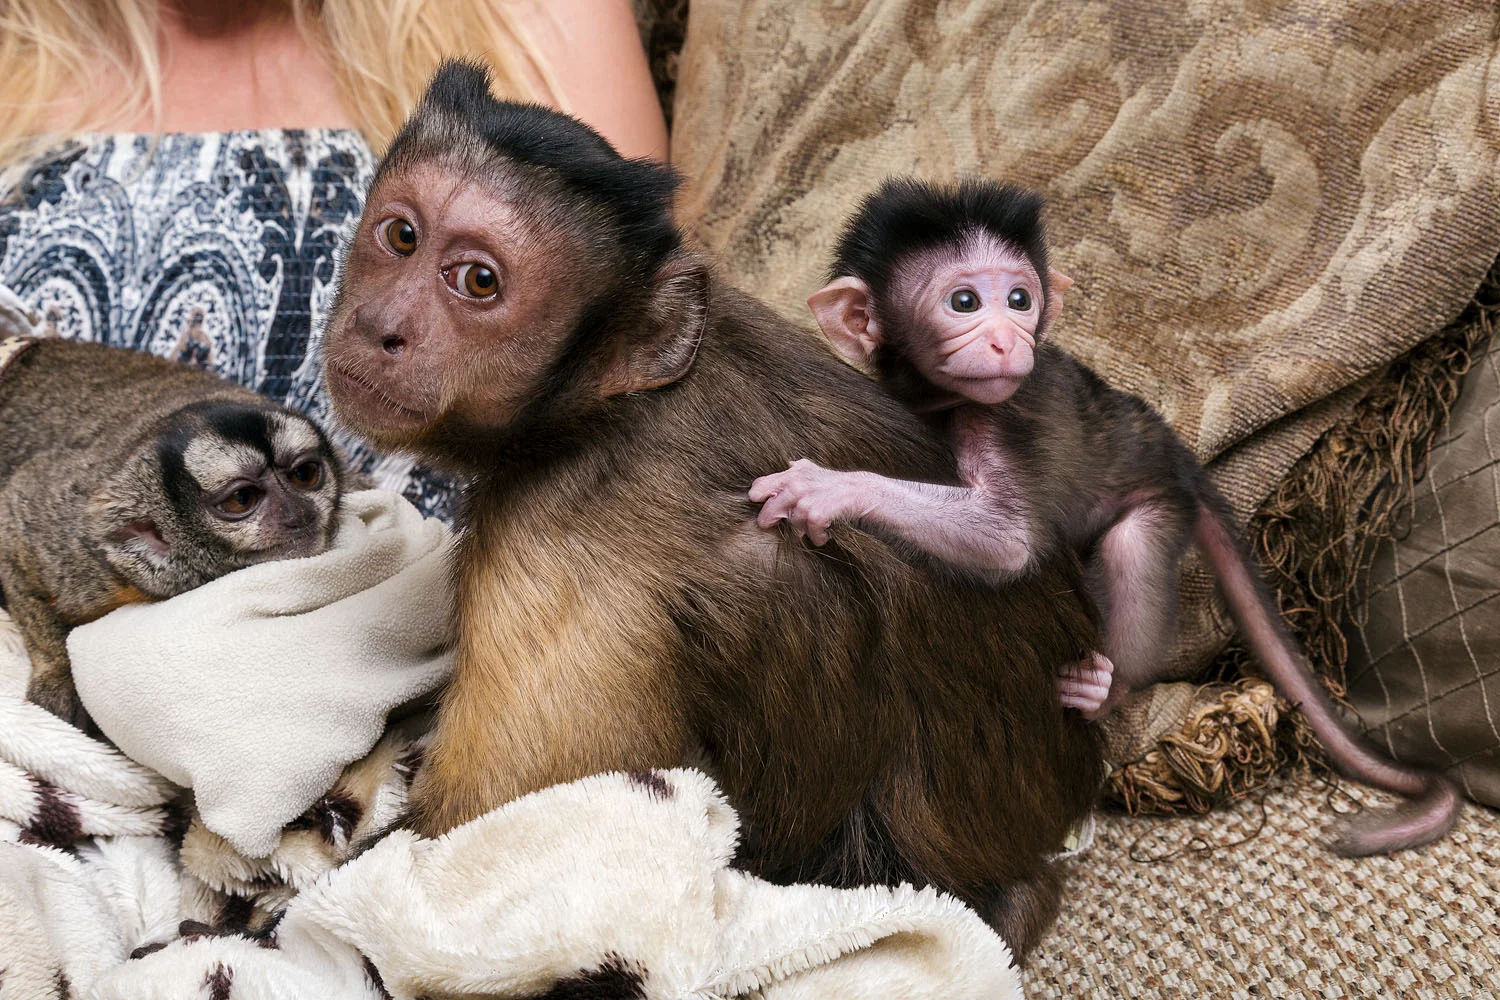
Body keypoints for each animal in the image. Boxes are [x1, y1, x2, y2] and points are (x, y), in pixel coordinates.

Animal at [0, 337, 346, 729]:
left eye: (304, 475)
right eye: (242, 499)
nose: (298, 513)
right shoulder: (78, 548)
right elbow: (13, 518)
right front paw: (57, 673)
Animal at [320, 60, 1106, 961]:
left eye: (477, 281)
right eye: (401, 237)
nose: (380, 325)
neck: (596, 409)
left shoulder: (558, 538)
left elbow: (456, 849)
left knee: (776, 570)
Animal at [749, 177, 1462, 856]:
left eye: (1019, 299)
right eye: (964, 303)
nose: (1008, 341)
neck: (940, 400)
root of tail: (1173, 454)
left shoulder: (1001, 415)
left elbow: (1008, 542)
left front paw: (828, 490)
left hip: (1158, 500)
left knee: (1131, 547)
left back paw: (1105, 690)